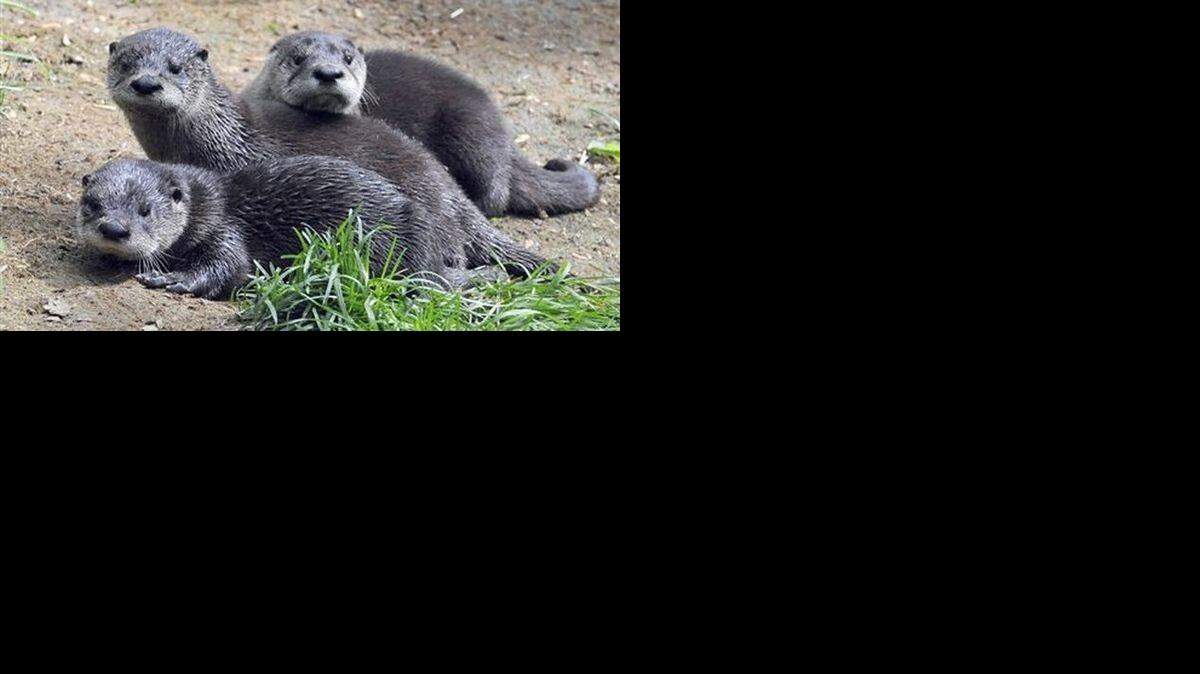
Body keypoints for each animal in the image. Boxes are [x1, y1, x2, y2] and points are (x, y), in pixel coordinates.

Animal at [76, 157, 540, 299]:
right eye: (92, 204)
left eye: (145, 210)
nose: (114, 229)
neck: (206, 203)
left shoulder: (225, 228)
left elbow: (230, 267)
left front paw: (172, 278)